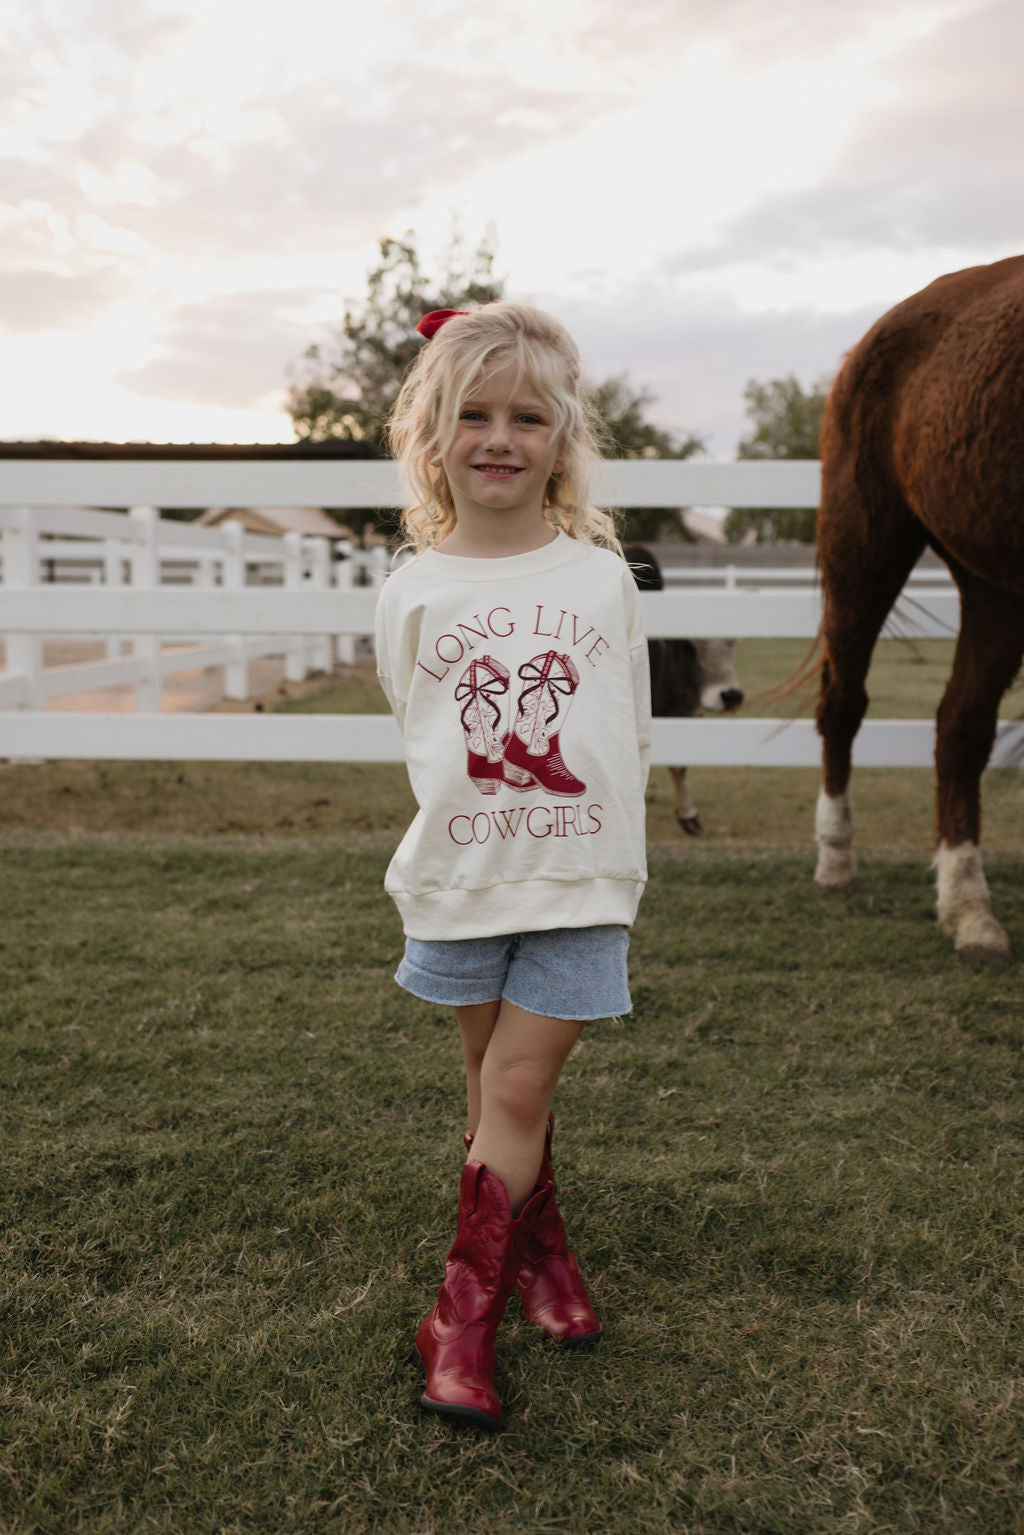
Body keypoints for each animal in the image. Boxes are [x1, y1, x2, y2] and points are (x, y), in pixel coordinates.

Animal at [626, 543, 746, 841]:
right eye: (690, 646)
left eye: (731, 643)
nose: (731, 696)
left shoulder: (684, 713)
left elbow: (679, 764)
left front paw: (690, 817)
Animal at [816, 257, 1024, 963]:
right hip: (863, 550)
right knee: (842, 704)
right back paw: (838, 862)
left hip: (994, 586)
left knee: (960, 727)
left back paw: (967, 908)